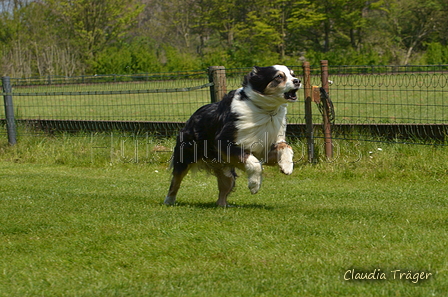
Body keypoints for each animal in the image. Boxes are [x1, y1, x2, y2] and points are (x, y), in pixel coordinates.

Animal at [164, 64, 300, 206]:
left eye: (293, 74)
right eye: (279, 76)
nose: (298, 81)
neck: (265, 110)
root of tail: (191, 117)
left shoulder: (266, 148)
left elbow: (286, 147)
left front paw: (287, 166)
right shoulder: (224, 143)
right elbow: (255, 163)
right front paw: (254, 185)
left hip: (227, 173)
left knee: (223, 192)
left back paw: (223, 206)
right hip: (185, 157)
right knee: (175, 180)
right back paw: (169, 201)